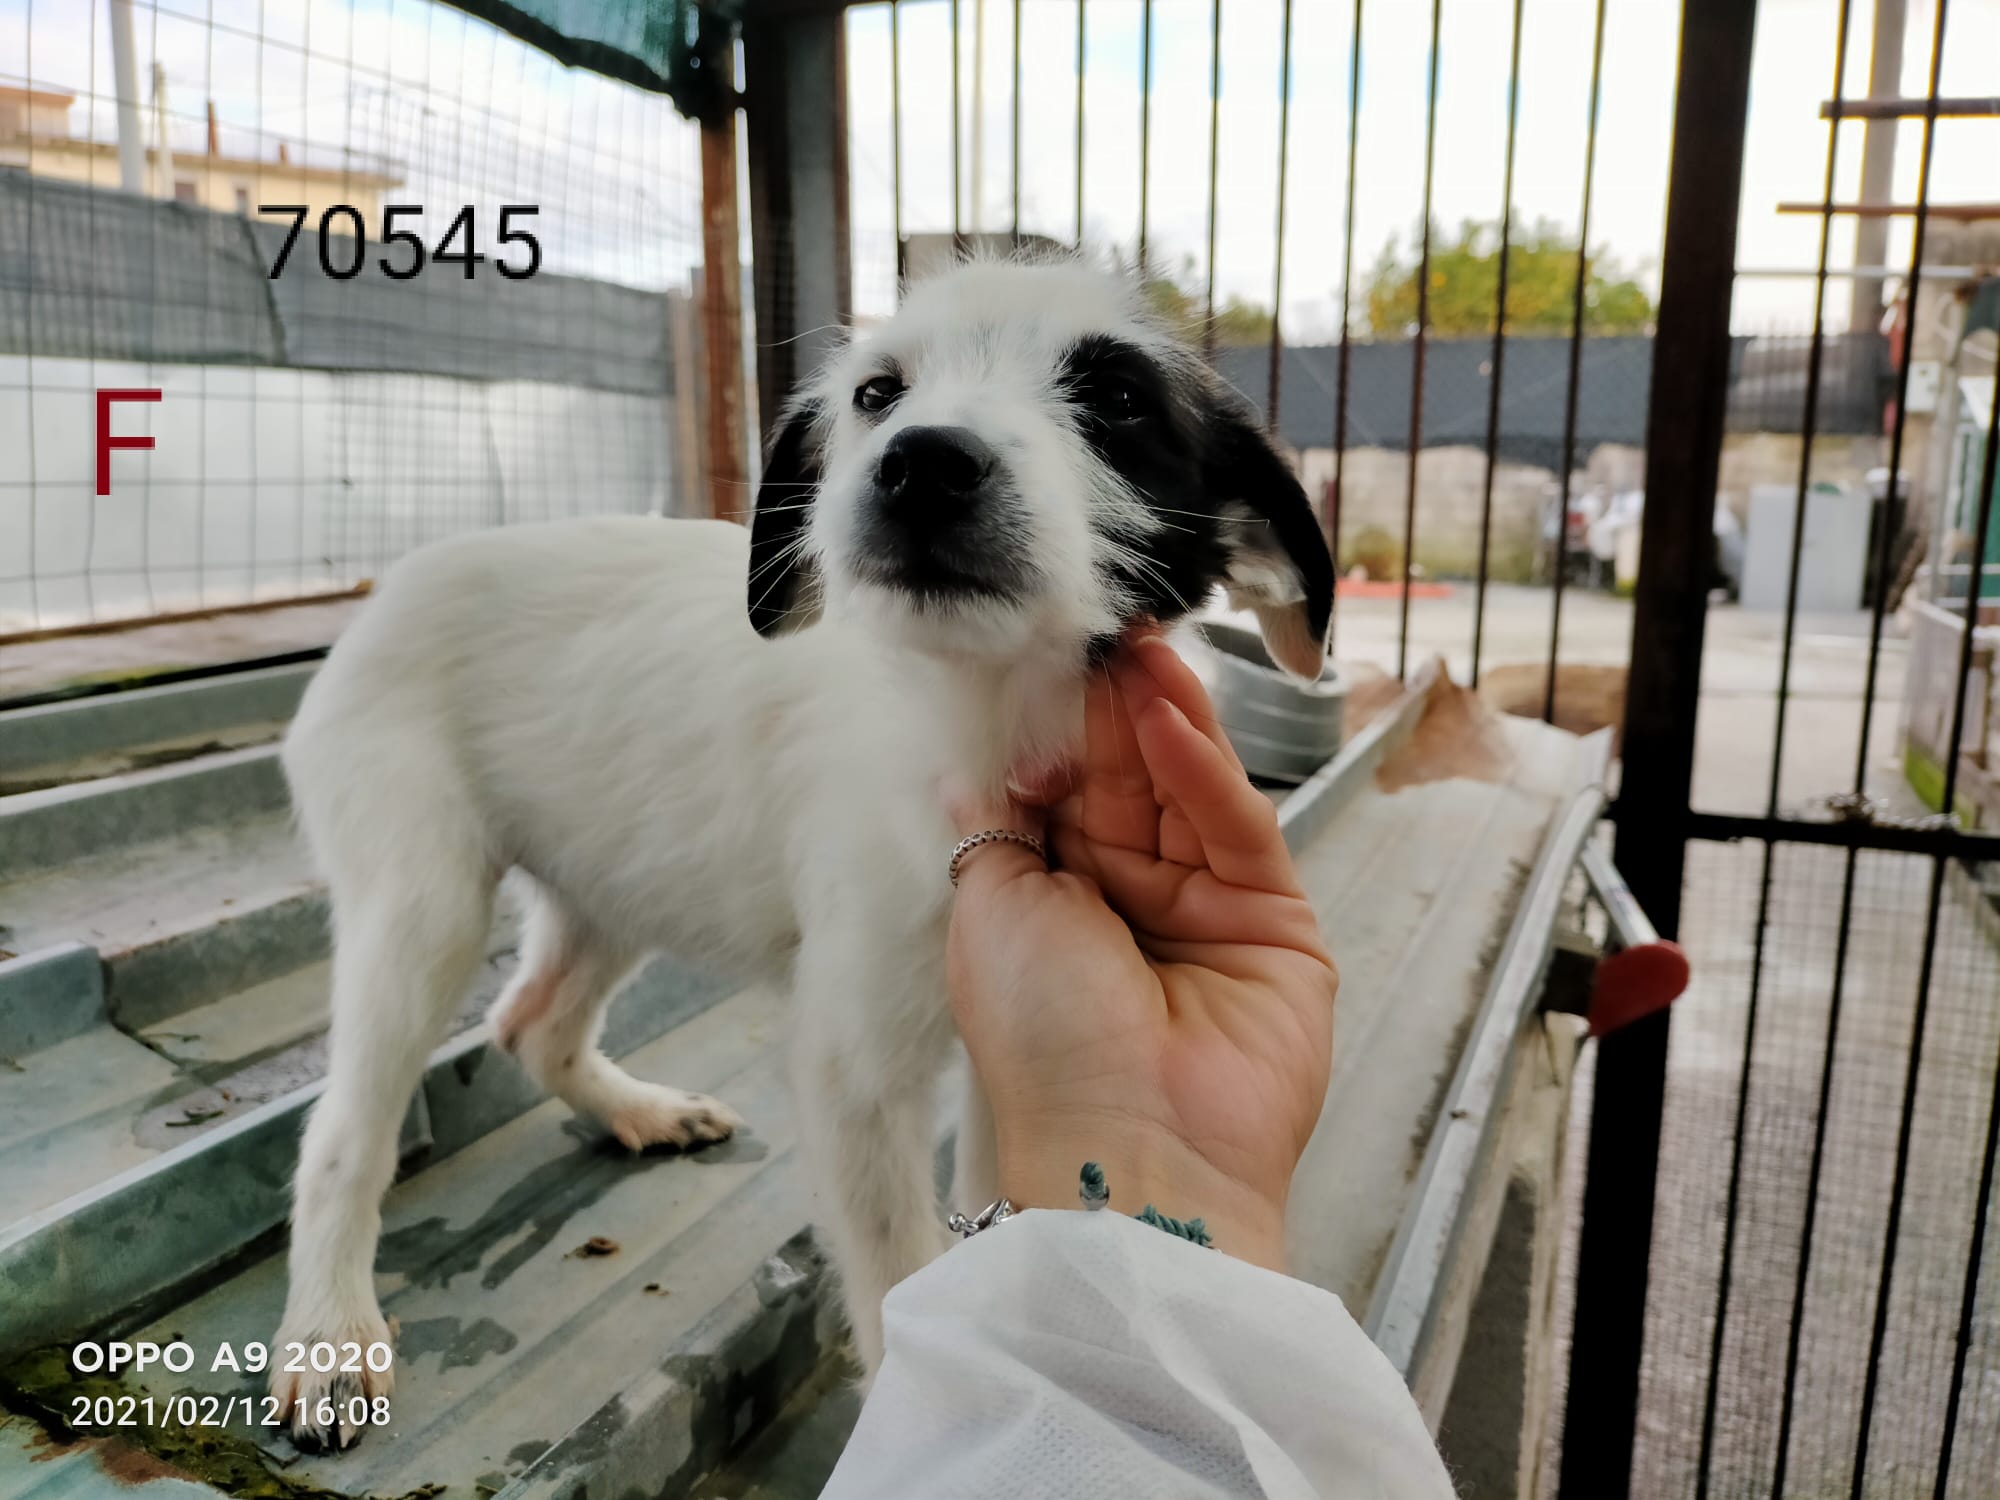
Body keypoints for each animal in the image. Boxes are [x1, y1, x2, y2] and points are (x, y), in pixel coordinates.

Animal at [271, 255, 1334, 1448]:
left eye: (1116, 401)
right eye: (877, 394)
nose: (921, 464)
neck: (976, 716)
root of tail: (389, 588)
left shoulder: (996, 1043)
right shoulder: (854, 1072)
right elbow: (893, 1277)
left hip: (612, 877)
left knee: (531, 1021)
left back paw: (639, 1112)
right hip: (426, 896)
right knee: (340, 1133)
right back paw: (327, 1337)